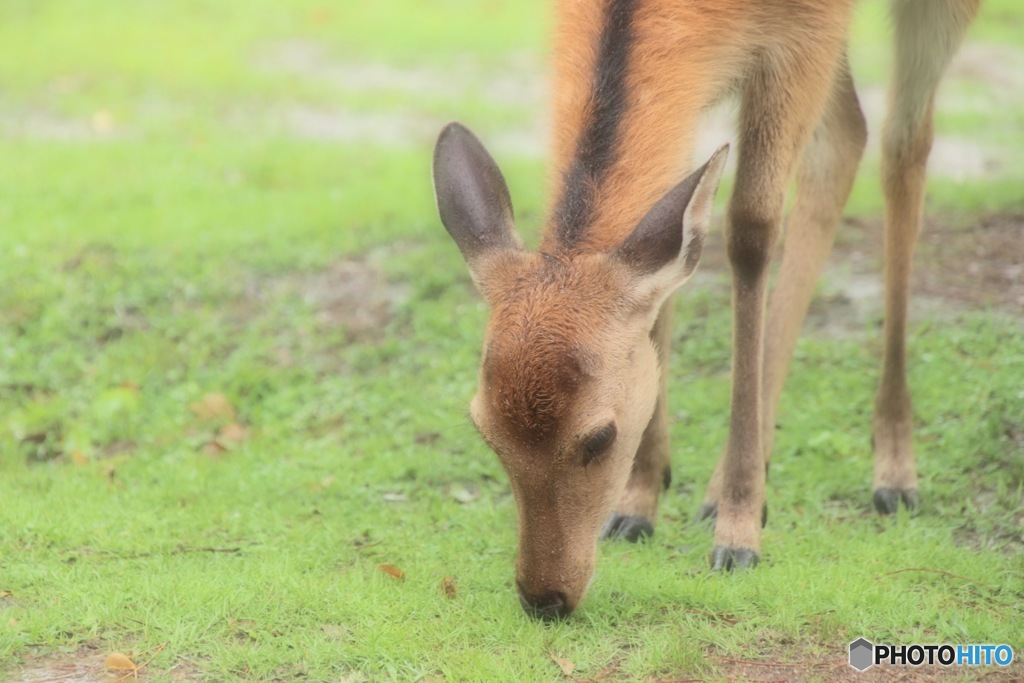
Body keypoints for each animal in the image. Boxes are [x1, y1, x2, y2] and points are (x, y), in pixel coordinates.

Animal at [428, 0, 978, 618]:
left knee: (903, 146)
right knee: (846, 135)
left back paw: (893, 473)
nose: (544, 597)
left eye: (600, 437)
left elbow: (751, 231)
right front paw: (640, 503)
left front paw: (739, 536)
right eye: (484, 431)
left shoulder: (805, 37)